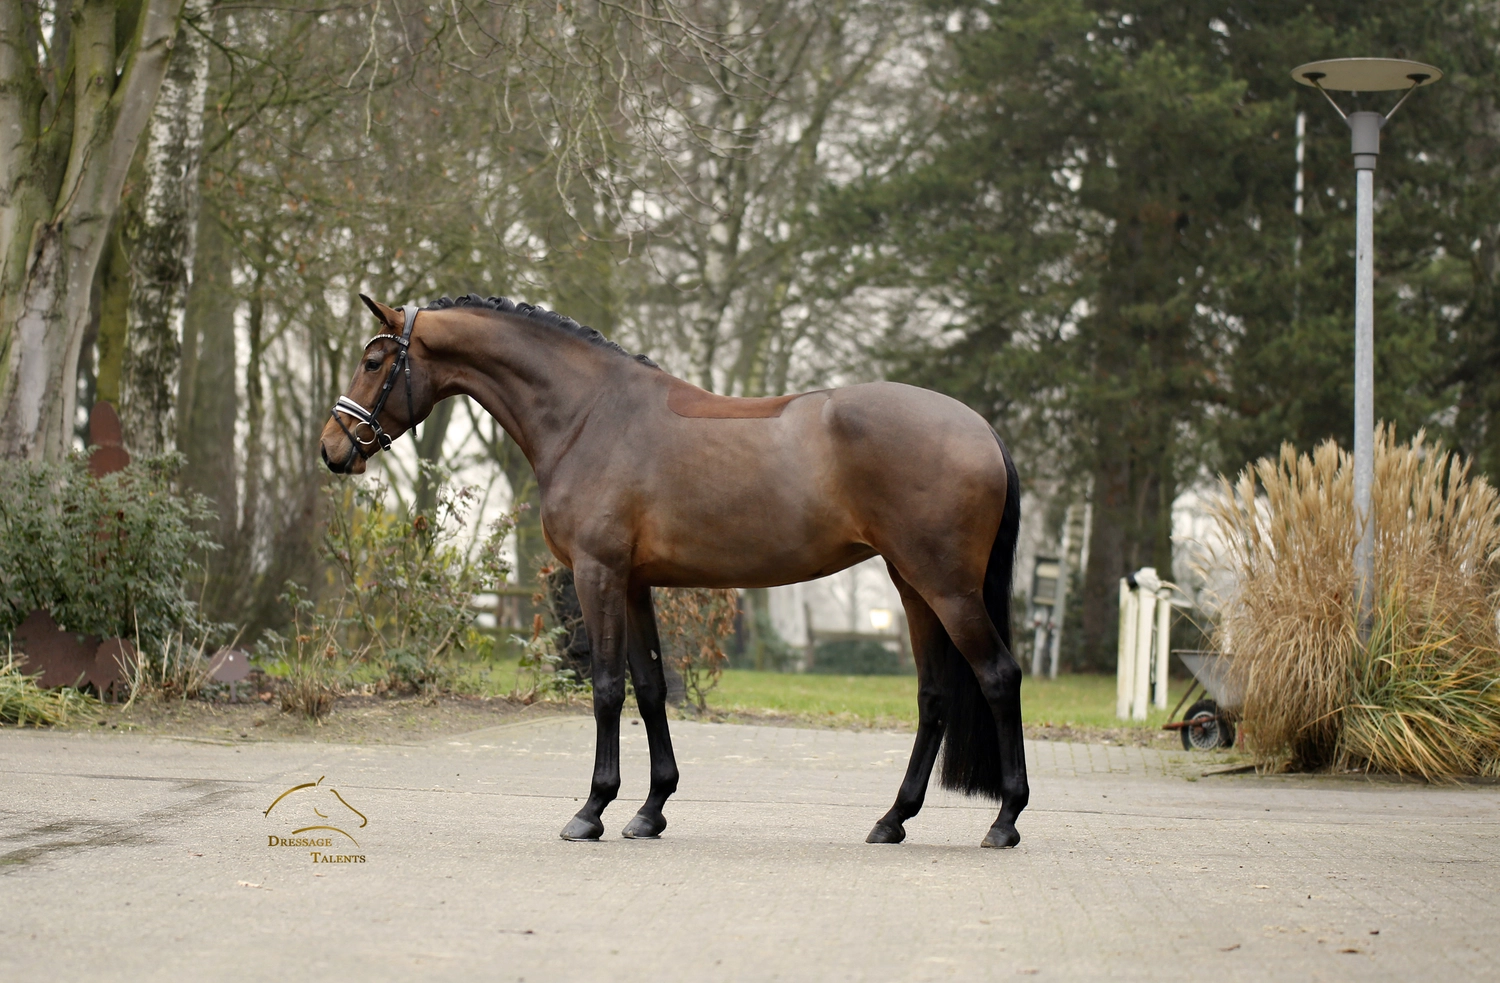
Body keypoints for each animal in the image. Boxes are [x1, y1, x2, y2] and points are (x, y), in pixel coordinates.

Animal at [319, 294, 1029, 848]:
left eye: (375, 362)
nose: (332, 448)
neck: (589, 415)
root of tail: (981, 428)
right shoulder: (634, 583)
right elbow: (651, 688)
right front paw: (650, 811)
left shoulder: (598, 575)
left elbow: (607, 688)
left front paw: (591, 811)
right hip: (913, 586)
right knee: (934, 695)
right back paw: (892, 819)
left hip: (947, 588)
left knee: (998, 676)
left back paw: (1004, 820)